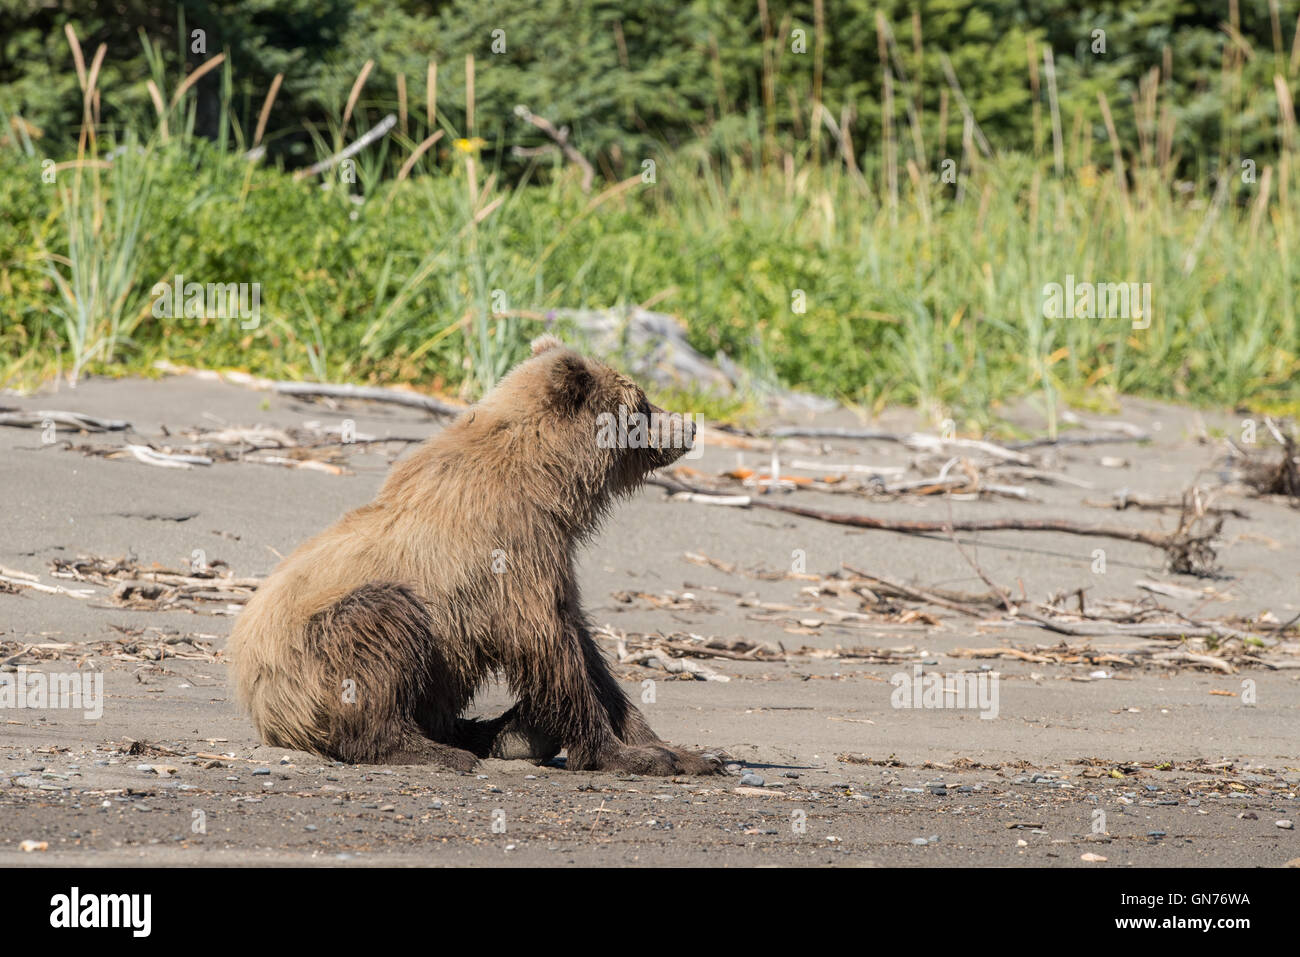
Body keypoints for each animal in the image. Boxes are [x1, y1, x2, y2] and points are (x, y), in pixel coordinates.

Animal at [230, 335, 728, 780]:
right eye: (641, 403)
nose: (689, 426)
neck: (549, 480)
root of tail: (260, 708)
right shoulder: (509, 551)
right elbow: (548, 645)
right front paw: (621, 754)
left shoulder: (552, 553)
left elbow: (583, 645)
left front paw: (684, 753)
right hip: (313, 653)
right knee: (380, 626)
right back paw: (435, 750)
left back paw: (511, 734)